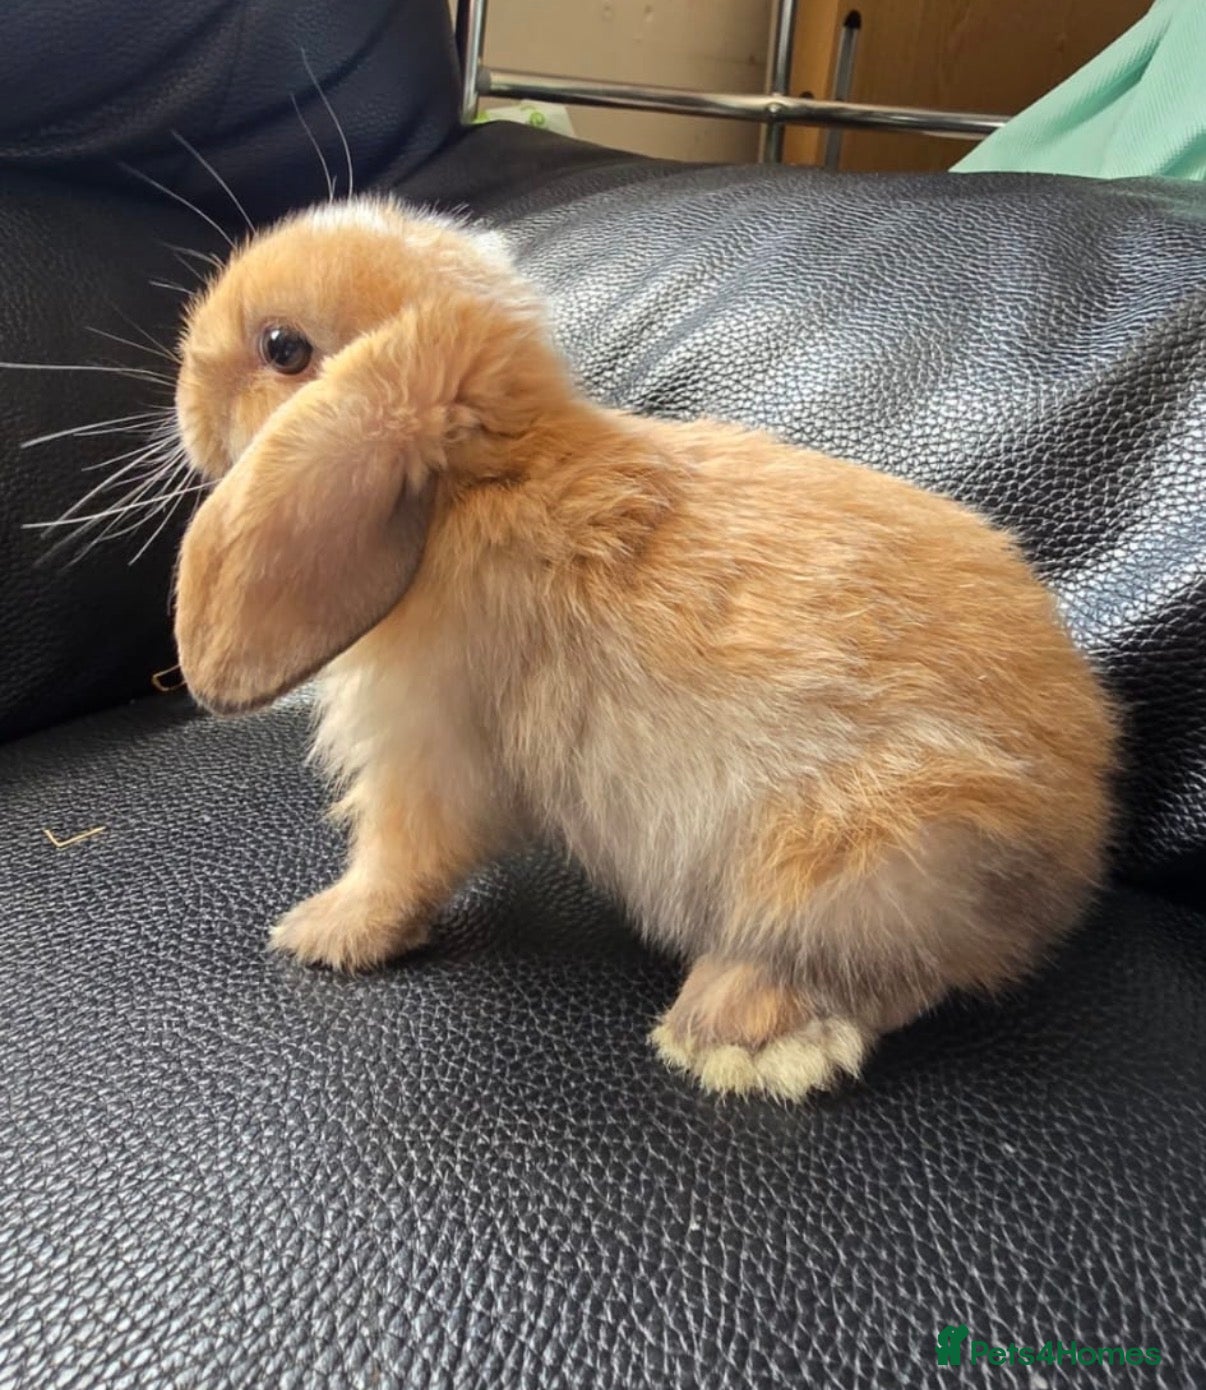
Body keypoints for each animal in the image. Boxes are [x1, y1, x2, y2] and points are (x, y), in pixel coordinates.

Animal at [173, 195, 1117, 1101]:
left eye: (283, 348)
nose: (183, 389)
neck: (478, 482)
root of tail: (1071, 855)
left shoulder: (429, 763)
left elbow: (398, 864)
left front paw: (322, 933)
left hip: (868, 851)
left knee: (877, 975)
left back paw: (736, 1035)